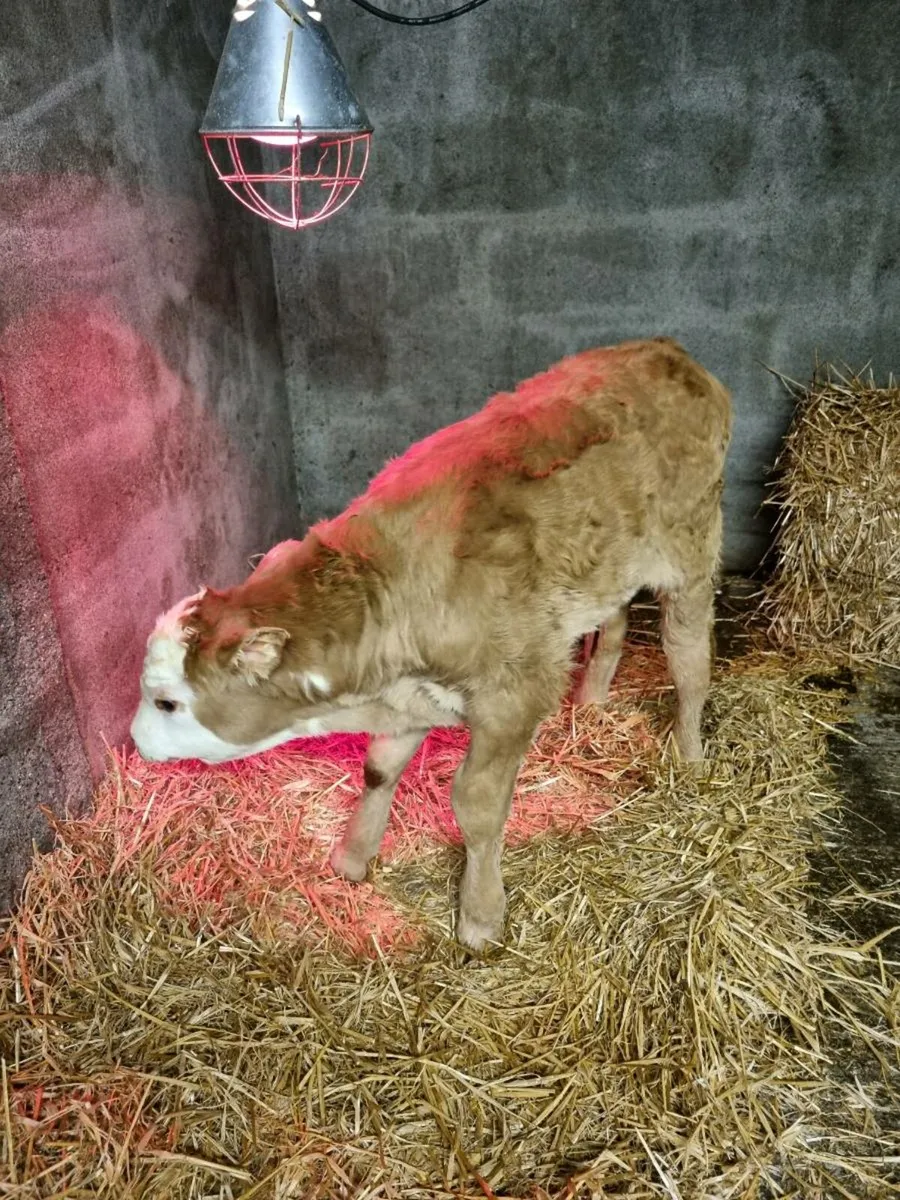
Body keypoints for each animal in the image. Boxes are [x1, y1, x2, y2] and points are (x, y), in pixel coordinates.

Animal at [131, 337, 732, 950]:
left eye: (168, 703)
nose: (136, 742)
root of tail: (667, 351)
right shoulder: (409, 698)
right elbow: (378, 768)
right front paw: (353, 856)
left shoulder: (513, 695)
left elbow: (476, 806)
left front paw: (481, 916)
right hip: (608, 567)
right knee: (613, 621)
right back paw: (591, 700)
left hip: (691, 550)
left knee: (688, 659)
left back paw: (689, 755)